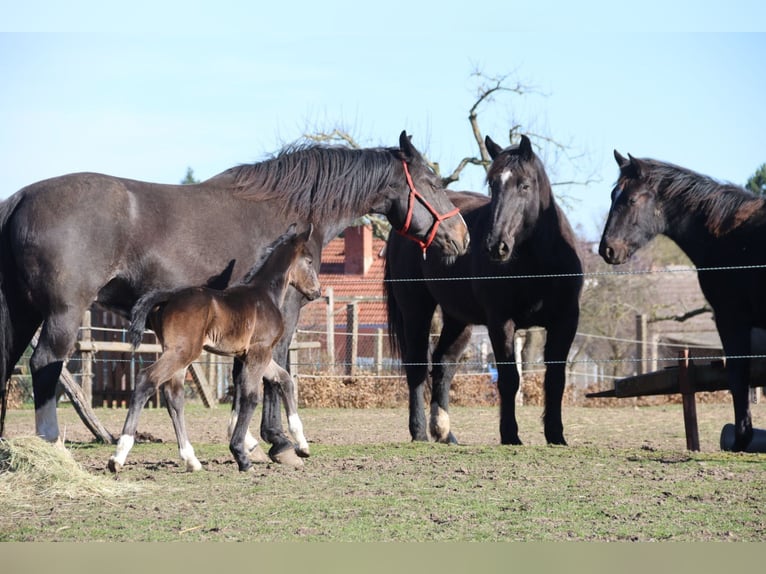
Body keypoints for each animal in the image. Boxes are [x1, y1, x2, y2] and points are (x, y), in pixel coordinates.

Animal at [0, 130, 468, 464]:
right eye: (431, 182)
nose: (460, 235)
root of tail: (20, 198)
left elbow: (250, 377)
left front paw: (249, 441)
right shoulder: (284, 315)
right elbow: (272, 375)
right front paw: (278, 442)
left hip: (23, 313)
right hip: (62, 313)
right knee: (44, 365)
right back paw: (52, 446)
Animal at [388, 135, 584, 446]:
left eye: (525, 185)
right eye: (492, 185)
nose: (496, 245)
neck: (538, 264)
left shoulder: (566, 322)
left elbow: (555, 378)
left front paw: (556, 435)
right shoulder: (501, 322)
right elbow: (510, 379)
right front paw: (510, 434)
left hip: (458, 319)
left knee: (443, 364)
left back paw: (445, 433)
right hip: (416, 309)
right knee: (417, 366)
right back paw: (419, 432)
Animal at [600, 151, 766, 452]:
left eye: (631, 199)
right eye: (612, 195)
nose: (607, 249)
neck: (728, 235)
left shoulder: (731, 320)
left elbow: (738, 375)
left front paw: (741, 438)